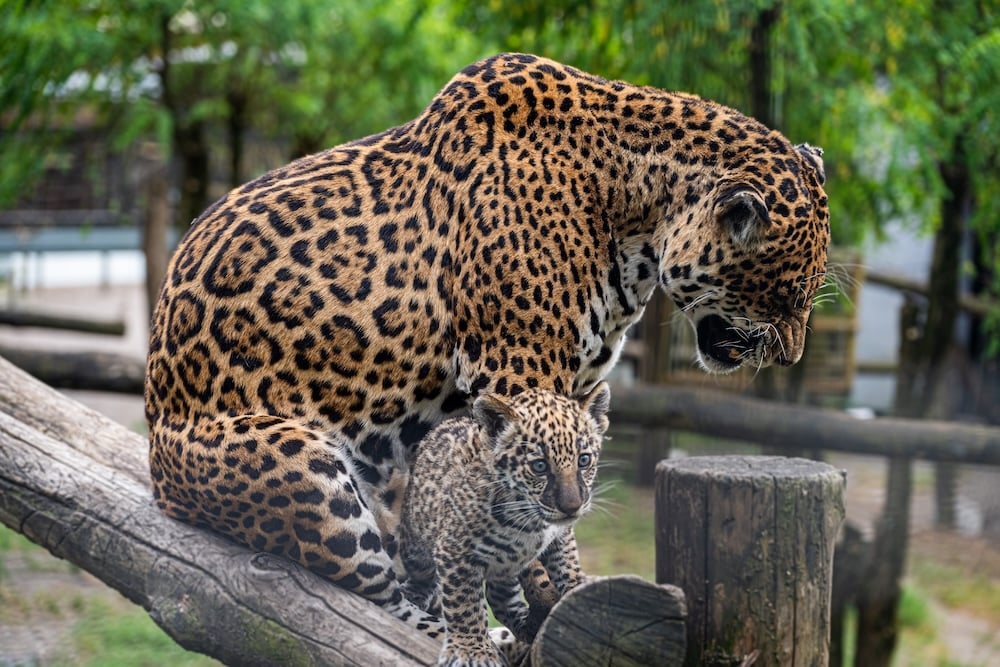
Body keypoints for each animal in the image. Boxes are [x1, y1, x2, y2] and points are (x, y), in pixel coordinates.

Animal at [144, 52, 829, 636]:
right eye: (788, 294)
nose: (792, 355)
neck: (635, 216)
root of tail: (156, 461)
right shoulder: (517, 371)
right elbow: (542, 506)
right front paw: (553, 593)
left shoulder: (573, 392)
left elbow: (562, 490)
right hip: (304, 466)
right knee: (383, 596)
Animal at [399, 382, 610, 666]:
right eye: (539, 466)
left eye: (584, 460)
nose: (572, 507)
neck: (532, 522)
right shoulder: (455, 552)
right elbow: (463, 603)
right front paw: (472, 650)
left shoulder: (559, 537)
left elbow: (567, 565)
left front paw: (577, 591)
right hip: (415, 545)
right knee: (422, 578)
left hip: (506, 570)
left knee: (500, 599)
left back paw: (527, 625)